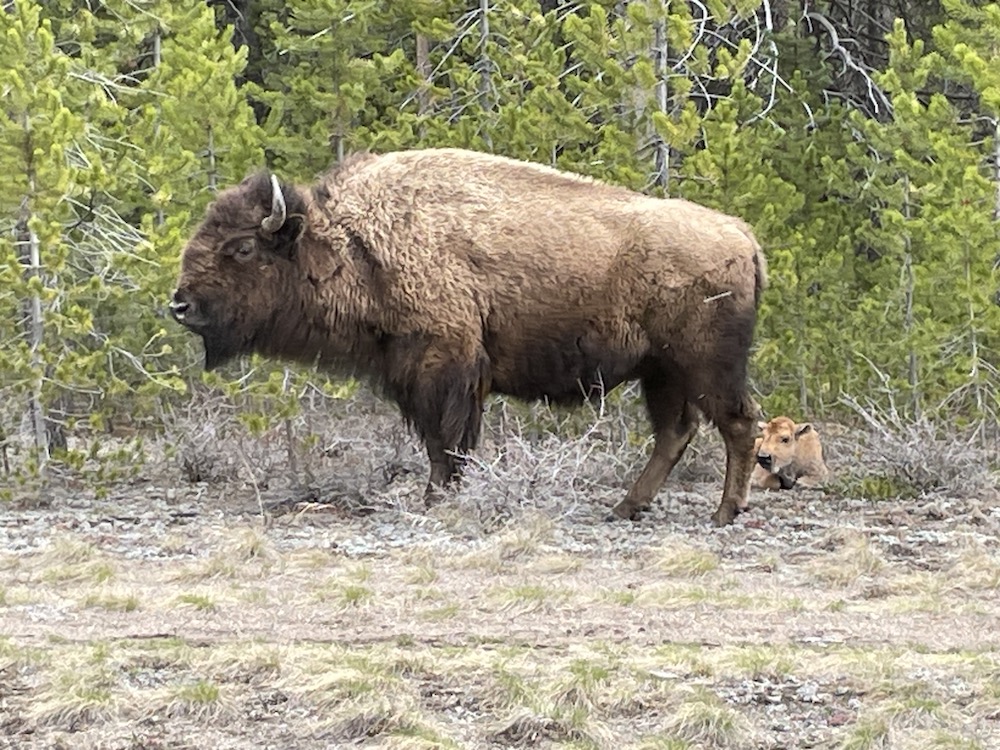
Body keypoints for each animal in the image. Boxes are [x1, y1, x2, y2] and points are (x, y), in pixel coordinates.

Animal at [170, 148, 764, 528]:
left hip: (705, 365)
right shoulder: (415, 376)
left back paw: (723, 513)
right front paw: (439, 495)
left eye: (243, 247)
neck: (356, 245)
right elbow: (438, 441)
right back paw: (624, 508)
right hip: (661, 372)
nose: (180, 304)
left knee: (738, 424)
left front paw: (437, 498)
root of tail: (743, 236)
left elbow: (447, 440)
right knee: (676, 432)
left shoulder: (444, 367)